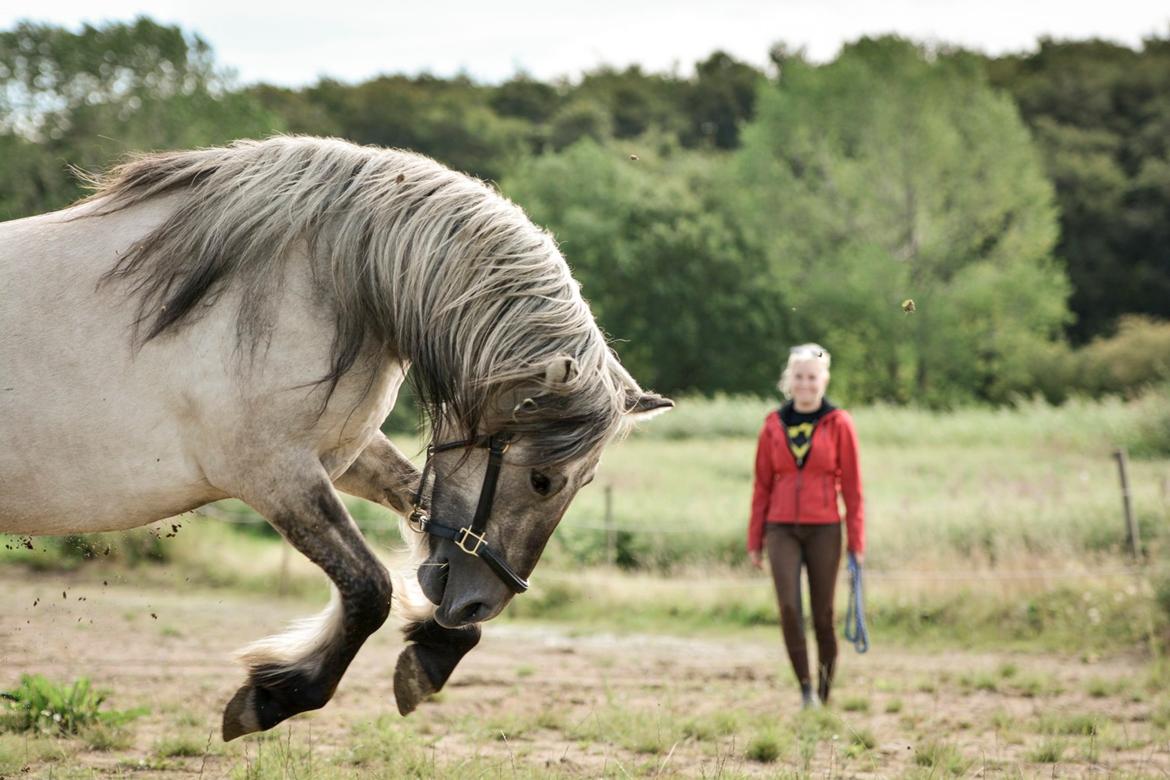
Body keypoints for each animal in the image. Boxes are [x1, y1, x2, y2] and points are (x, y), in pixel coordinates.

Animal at [0, 137, 673, 743]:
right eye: (543, 479)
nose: (479, 605)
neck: (324, 278)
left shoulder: (345, 454)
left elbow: (411, 514)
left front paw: (434, 649)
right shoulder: (274, 473)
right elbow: (369, 588)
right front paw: (274, 696)